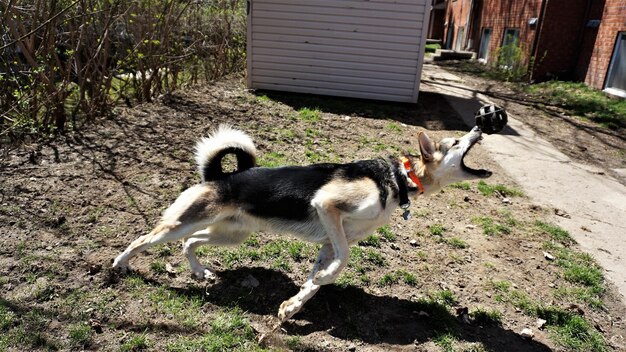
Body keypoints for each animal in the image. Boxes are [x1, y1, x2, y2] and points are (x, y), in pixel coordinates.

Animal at [113, 125, 492, 324]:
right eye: (456, 141)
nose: (478, 128)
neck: (400, 178)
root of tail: (220, 176)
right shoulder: (328, 207)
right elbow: (342, 262)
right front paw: (323, 280)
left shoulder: (330, 240)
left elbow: (314, 282)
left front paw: (293, 306)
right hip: (184, 223)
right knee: (142, 240)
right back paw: (118, 266)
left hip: (233, 233)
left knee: (189, 243)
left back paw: (200, 272)